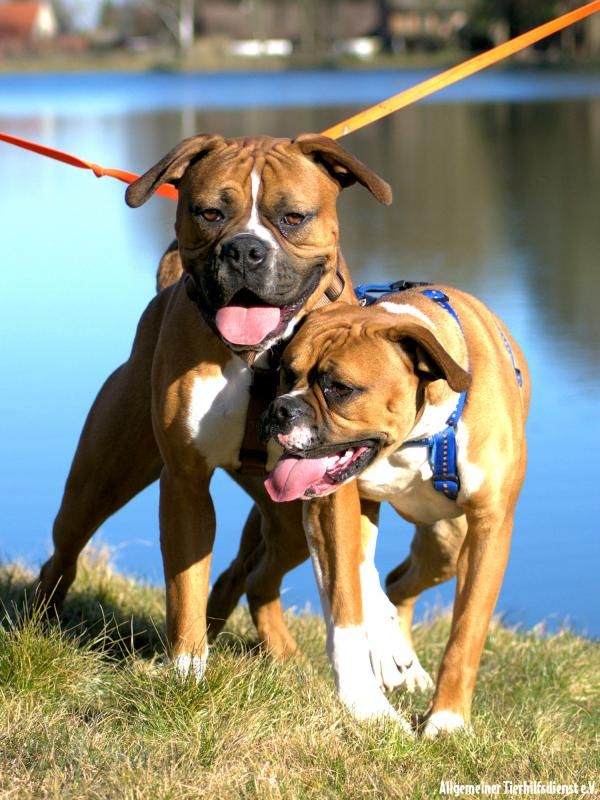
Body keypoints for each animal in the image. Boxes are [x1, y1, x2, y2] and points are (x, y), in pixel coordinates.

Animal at [35, 133, 394, 679]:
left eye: (293, 217)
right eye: (209, 213)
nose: (244, 249)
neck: (261, 355)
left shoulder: (329, 496)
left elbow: (345, 602)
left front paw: (364, 697)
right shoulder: (185, 483)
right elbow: (185, 585)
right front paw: (187, 671)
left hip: (287, 517)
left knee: (252, 578)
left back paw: (283, 657)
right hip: (98, 483)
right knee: (64, 553)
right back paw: (37, 624)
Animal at [261, 285, 530, 735]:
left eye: (339, 388)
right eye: (286, 373)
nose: (280, 409)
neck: (417, 435)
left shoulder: (490, 529)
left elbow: (467, 631)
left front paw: (447, 721)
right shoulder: (332, 505)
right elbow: (347, 605)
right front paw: (366, 706)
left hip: (449, 545)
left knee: (400, 582)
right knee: (379, 578)